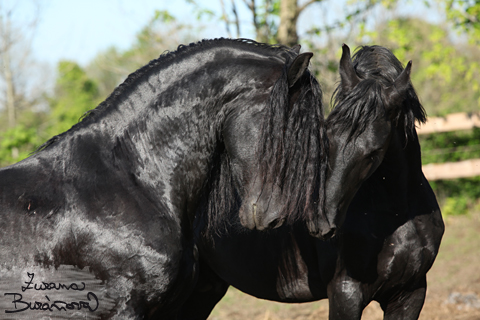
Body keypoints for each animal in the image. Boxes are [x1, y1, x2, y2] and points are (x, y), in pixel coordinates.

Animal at [187, 45, 442, 320]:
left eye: (373, 152)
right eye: (325, 136)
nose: (319, 222)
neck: (397, 217)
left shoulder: (410, 294)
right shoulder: (346, 294)